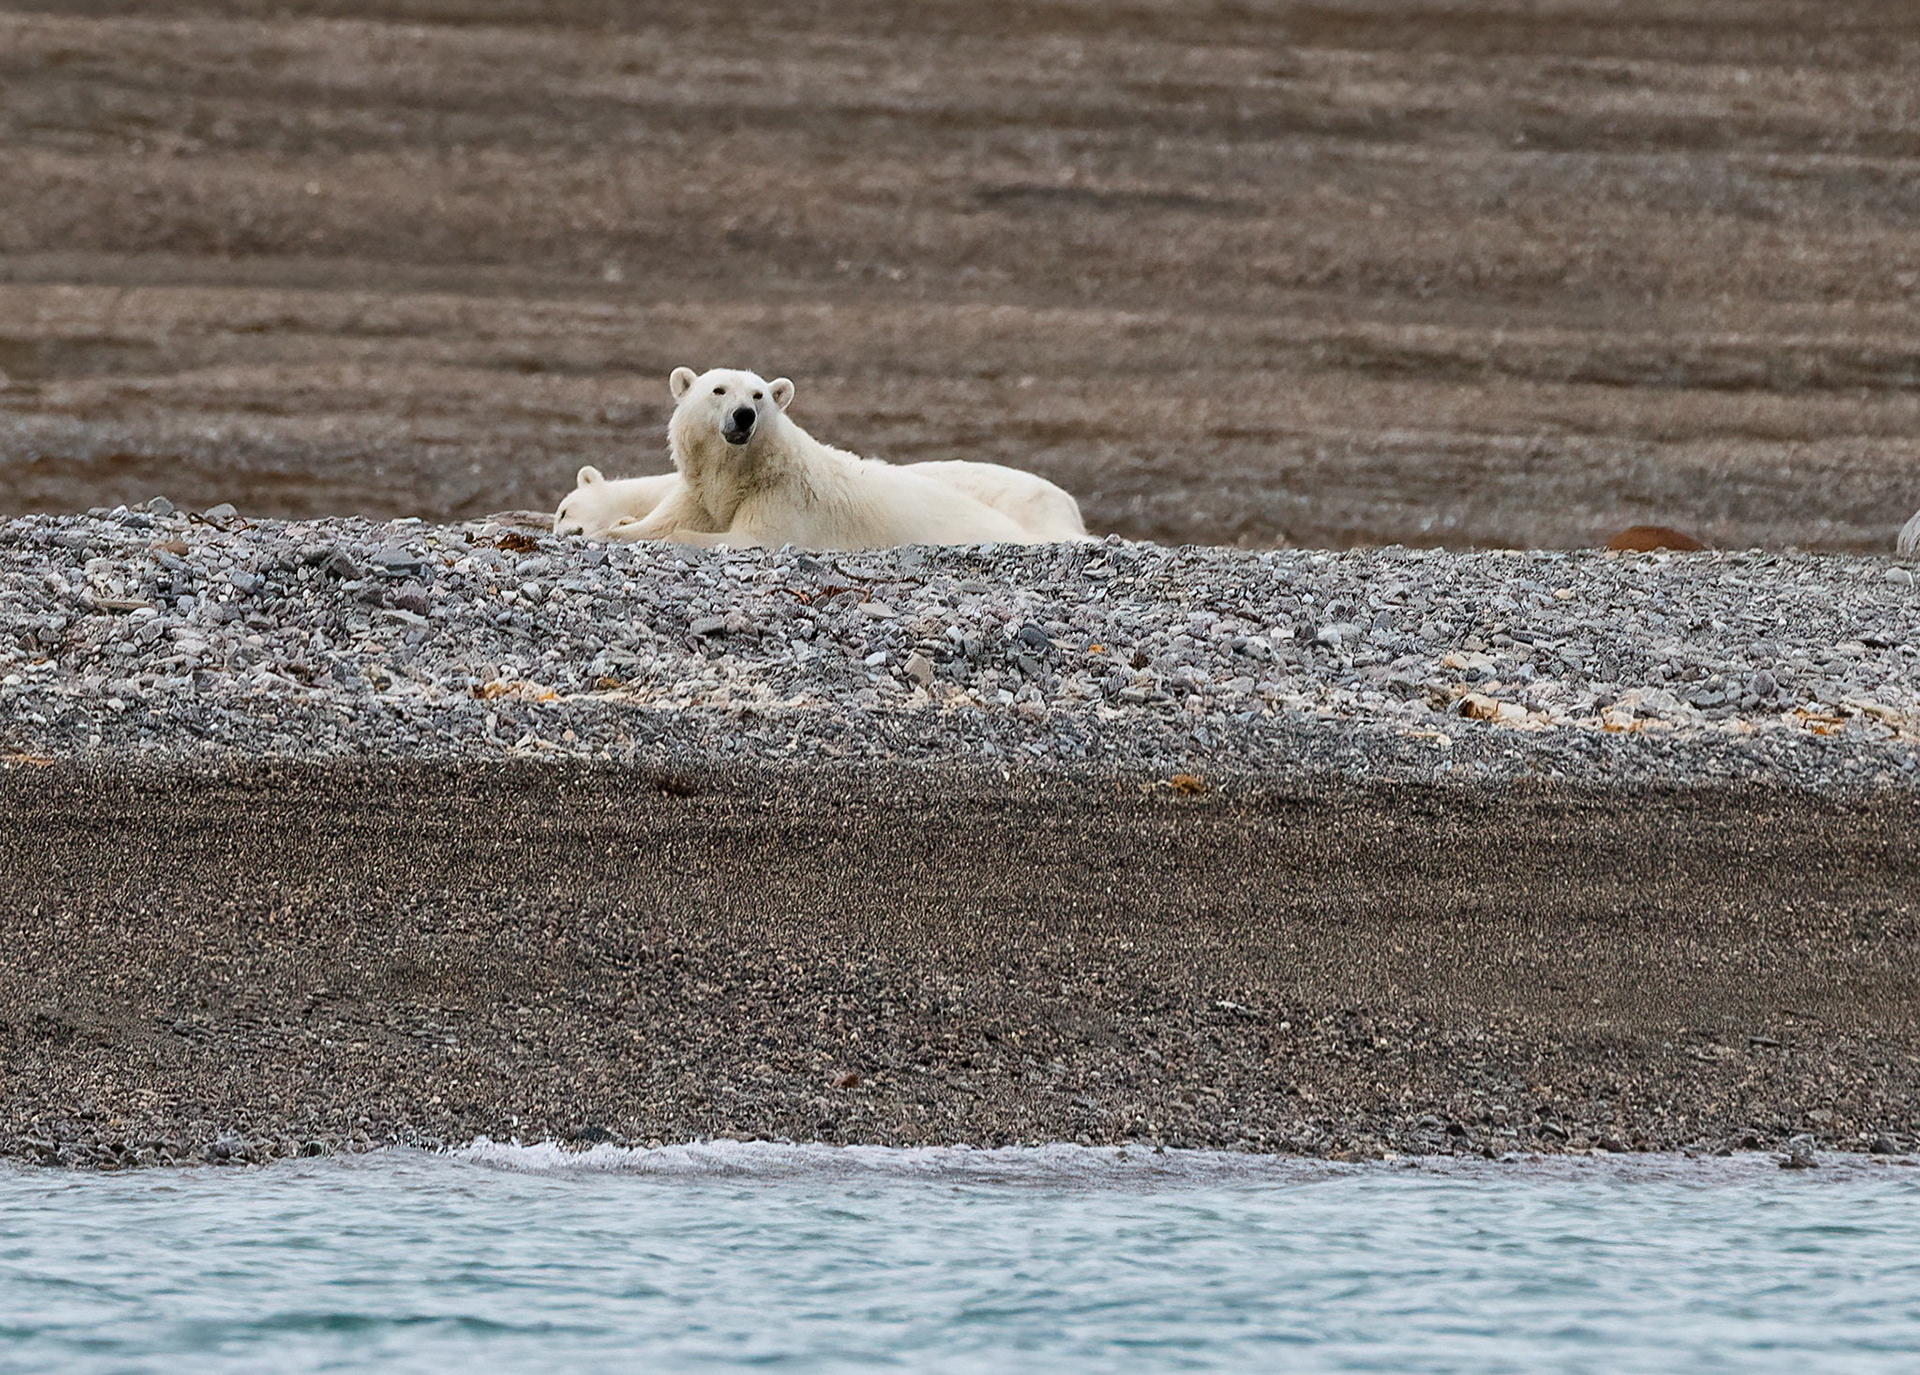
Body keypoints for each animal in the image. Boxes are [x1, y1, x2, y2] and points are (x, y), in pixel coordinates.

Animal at [604, 367, 1069, 551]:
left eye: (758, 394)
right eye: (718, 390)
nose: (744, 415)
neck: (736, 474)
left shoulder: (783, 497)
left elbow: (751, 537)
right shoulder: (699, 493)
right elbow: (659, 521)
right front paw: (617, 526)